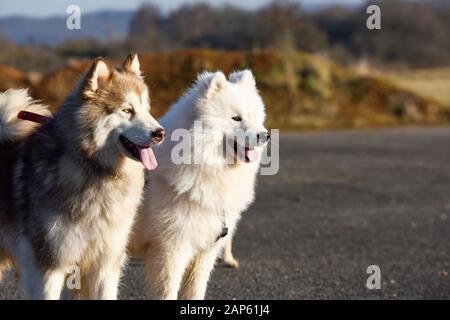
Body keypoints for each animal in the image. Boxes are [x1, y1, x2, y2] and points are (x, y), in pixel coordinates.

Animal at [132, 69, 268, 300]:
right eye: (236, 118)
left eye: (255, 117)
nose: (265, 135)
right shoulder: (171, 249)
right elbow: (168, 291)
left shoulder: (206, 251)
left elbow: (195, 290)